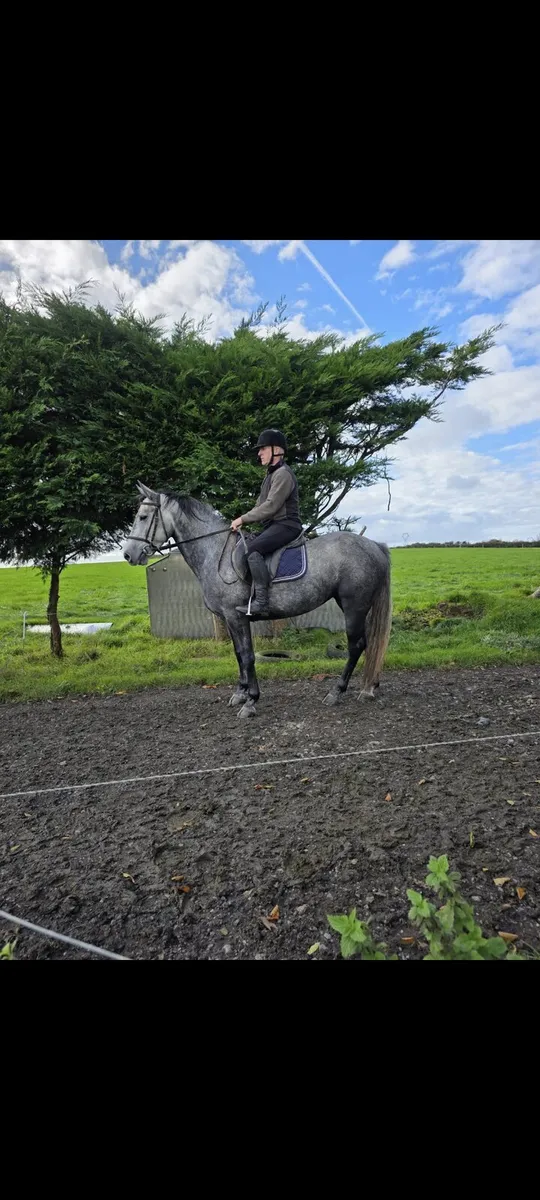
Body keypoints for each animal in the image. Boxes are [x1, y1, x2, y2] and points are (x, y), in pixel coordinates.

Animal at [123, 482, 392, 719]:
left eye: (144, 517)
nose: (128, 555)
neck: (216, 552)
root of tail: (373, 545)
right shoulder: (229, 618)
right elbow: (238, 654)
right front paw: (240, 694)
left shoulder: (236, 616)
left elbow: (248, 655)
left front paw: (251, 701)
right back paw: (369, 687)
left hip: (353, 606)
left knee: (356, 646)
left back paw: (337, 692)